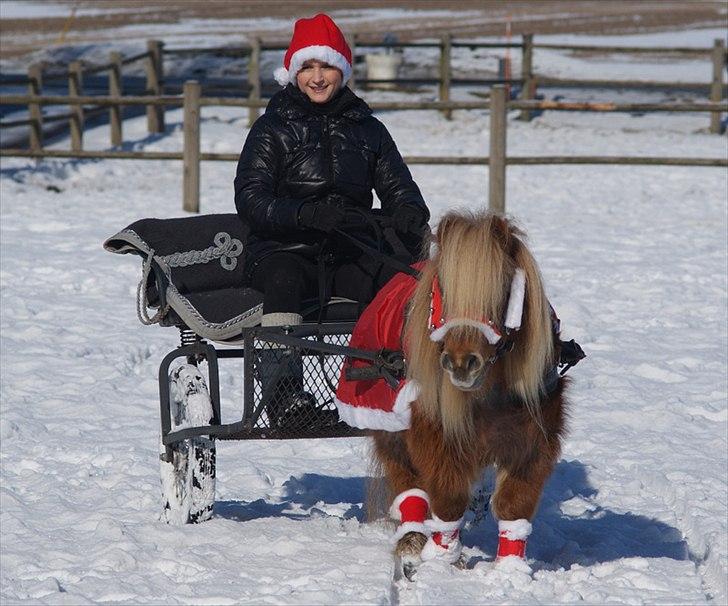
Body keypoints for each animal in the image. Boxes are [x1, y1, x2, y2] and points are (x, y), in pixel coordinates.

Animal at [370, 211, 568, 572]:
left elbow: (513, 506)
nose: (461, 363)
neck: (490, 393)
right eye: (442, 291)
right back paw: (411, 541)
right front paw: (443, 561)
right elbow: (448, 500)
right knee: (409, 487)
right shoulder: (436, 438)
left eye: (501, 290)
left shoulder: (533, 443)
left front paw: (508, 573)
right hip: (389, 429)